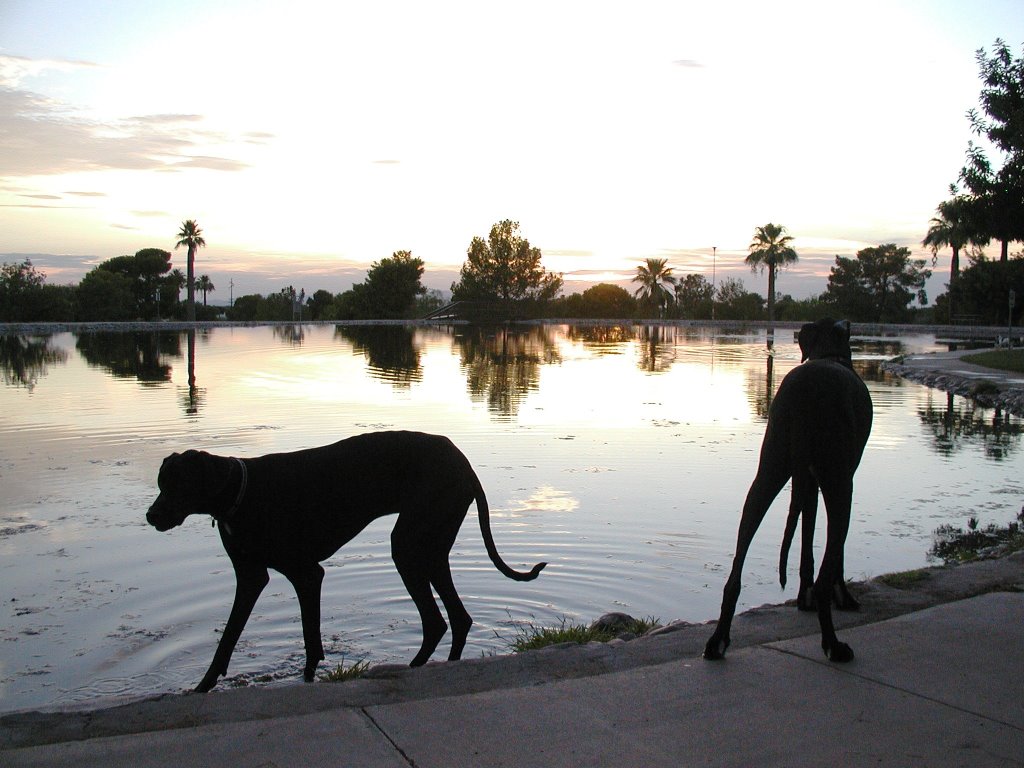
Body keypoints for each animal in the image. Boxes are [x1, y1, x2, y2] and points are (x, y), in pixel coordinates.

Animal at [148, 434, 548, 692]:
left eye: (178, 484)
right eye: (161, 483)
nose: (151, 517)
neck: (239, 492)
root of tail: (464, 464)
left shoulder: (307, 574)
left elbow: (311, 640)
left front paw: (307, 679)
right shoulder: (250, 578)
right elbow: (228, 638)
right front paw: (202, 686)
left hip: (409, 545)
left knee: (436, 620)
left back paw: (410, 668)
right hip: (431, 546)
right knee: (458, 617)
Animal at [704, 321, 872, 663]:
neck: (827, 352)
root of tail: (805, 394)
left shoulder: (807, 481)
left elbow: (806, 531)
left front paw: (802, 597)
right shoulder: (841, 478)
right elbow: (833, 549)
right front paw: (843, 598)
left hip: (770, 468)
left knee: (736, 569)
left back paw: (718, 640)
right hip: (839, 483)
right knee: (829, 565)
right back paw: (833, 644)